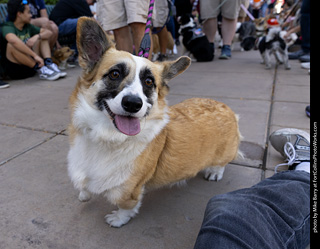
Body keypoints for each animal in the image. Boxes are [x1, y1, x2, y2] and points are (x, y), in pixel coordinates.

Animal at [68, 17, 242, 228]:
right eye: (115, 74)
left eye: (149, 82)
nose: (133, 104)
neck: (107, 137)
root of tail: (227, 108)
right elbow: (84, 187)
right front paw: (83, 194)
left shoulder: (129, 189)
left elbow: (126, 206)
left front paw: (117, 219)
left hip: (223, 154)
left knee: (221, 163)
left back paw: (215, 172)